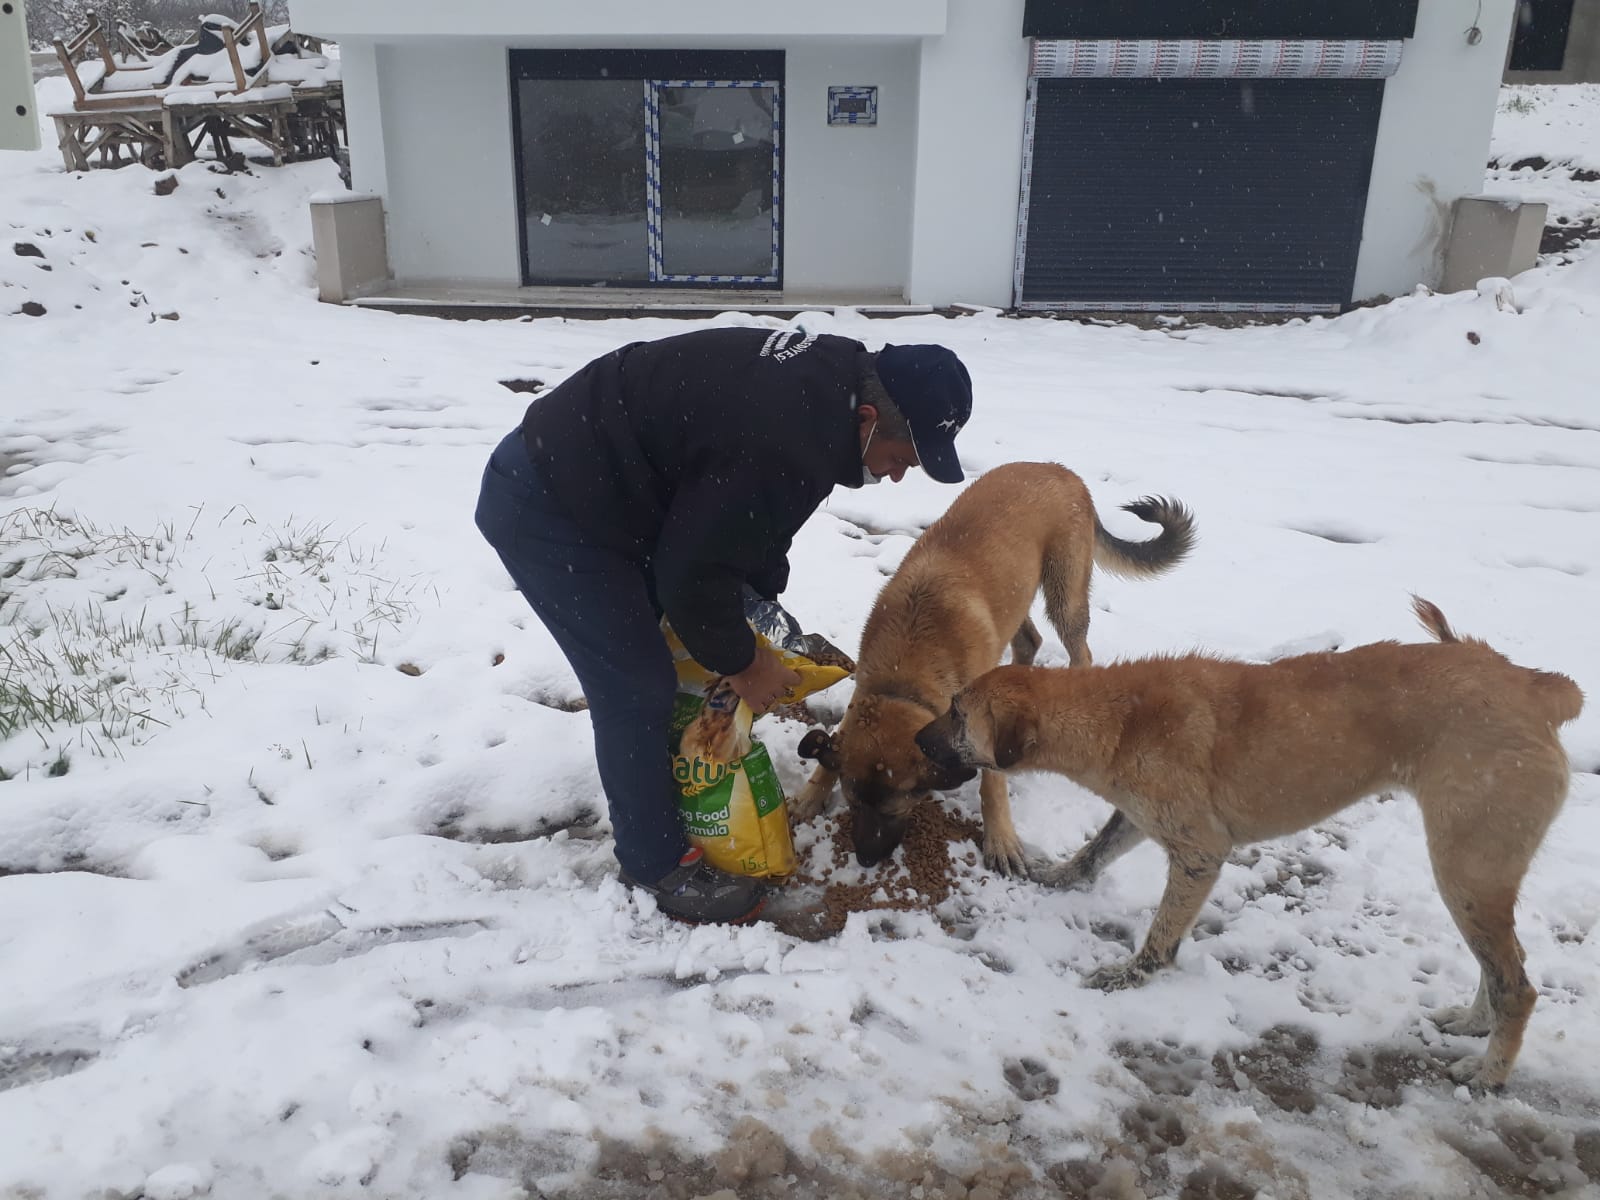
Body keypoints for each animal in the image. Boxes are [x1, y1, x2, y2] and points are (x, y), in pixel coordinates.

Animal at [793, 460, 1196, 876]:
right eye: (854, 804)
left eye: (896, 810)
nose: (866, 859)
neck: (905, 674)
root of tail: (1062, 471)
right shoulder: (866, 692)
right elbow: (837, 740)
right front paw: (811, 793)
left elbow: (991, 780)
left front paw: (1000, 837)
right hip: (1016, 596)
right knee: (1029, 641)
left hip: (1064, 594)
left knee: (1078, 649)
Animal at [915, 598, 1587, 1094]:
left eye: (956, 714)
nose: (917, 739)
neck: (1120, 717)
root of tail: (1535, 687)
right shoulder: (1140, 816)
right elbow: (1092, 853)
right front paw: (1054, 878)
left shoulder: (1199, 852)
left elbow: (1160, 936)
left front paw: (1129, 978)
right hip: (1476, 879)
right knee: (1502, 969)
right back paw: (1472, 1024)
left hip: (1466, 868)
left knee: (1518, 986)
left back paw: (1490, 1075)